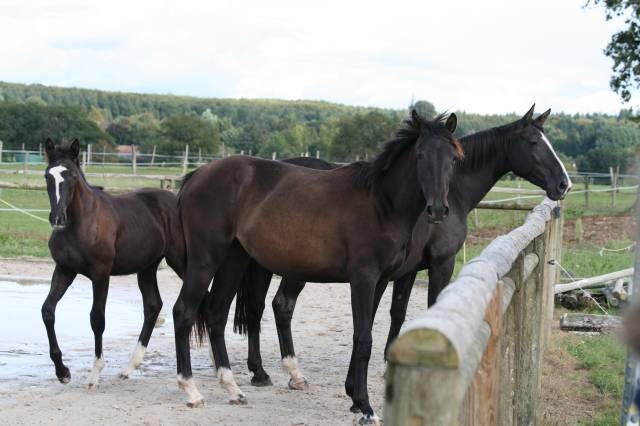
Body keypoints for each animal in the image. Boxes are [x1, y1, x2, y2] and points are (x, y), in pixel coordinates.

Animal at [42, 140, 185, 390]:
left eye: (72, 177)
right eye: (47, 176)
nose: (57, 219)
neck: (82, 221)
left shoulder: (101, 273)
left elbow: (97, 319)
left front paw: (94, 375)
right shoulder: (64, 270)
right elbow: (48, 311)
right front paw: (63, 372)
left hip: (180, 261)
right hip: (147, 268)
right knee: (153, 306)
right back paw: (128, 368)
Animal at [172, 110, 458, 422]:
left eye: (453, 158)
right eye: (420, 155)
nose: (438, 209)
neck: (381, 203)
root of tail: (197, 175)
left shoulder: (381, 281)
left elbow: (366, 333)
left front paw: (355, 398)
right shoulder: (363, 279)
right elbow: (363, 340)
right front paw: (365, 407)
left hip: (233, 260)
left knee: (216, 313)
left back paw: (232, 388)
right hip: (206, 260)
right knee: (183, 312)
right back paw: (191, 391)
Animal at [232, 104, 572, 396]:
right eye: (533, 142)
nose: (564, 184)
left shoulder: (406, 270)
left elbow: (395, 313)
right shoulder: (440, 264)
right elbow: (422, 307)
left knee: (260, 307)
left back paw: (262, 371)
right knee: (280, 305)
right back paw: (288, 373)